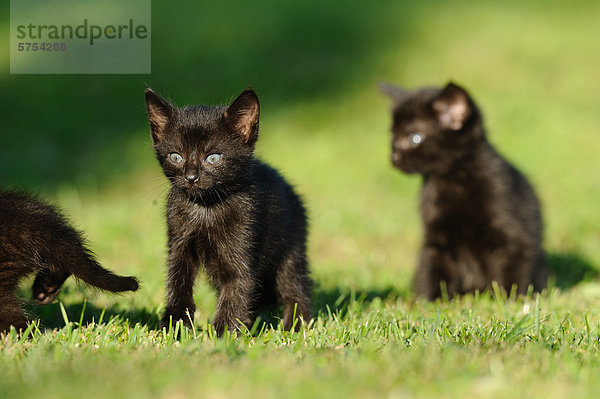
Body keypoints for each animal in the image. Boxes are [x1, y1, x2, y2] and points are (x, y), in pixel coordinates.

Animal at [146, 86, 314, 334]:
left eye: (213, 157)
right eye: (176, 156)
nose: (191, 177)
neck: (205, 209)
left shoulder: (242, 242)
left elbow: (237, 286)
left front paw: (222, 332)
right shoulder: (178, 243)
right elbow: (177, 281)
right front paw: (175, 324)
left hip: (290, 248)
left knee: (295, 286)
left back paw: (294, 325)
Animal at [382, 82, 548, 300]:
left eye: (414, 137)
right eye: (392, 137)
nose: (393, 157)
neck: (453, 180)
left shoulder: (514, 234)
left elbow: (514, 271)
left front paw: (509, 299)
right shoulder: (436, 242)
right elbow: (433, 272)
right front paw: (431, 300)